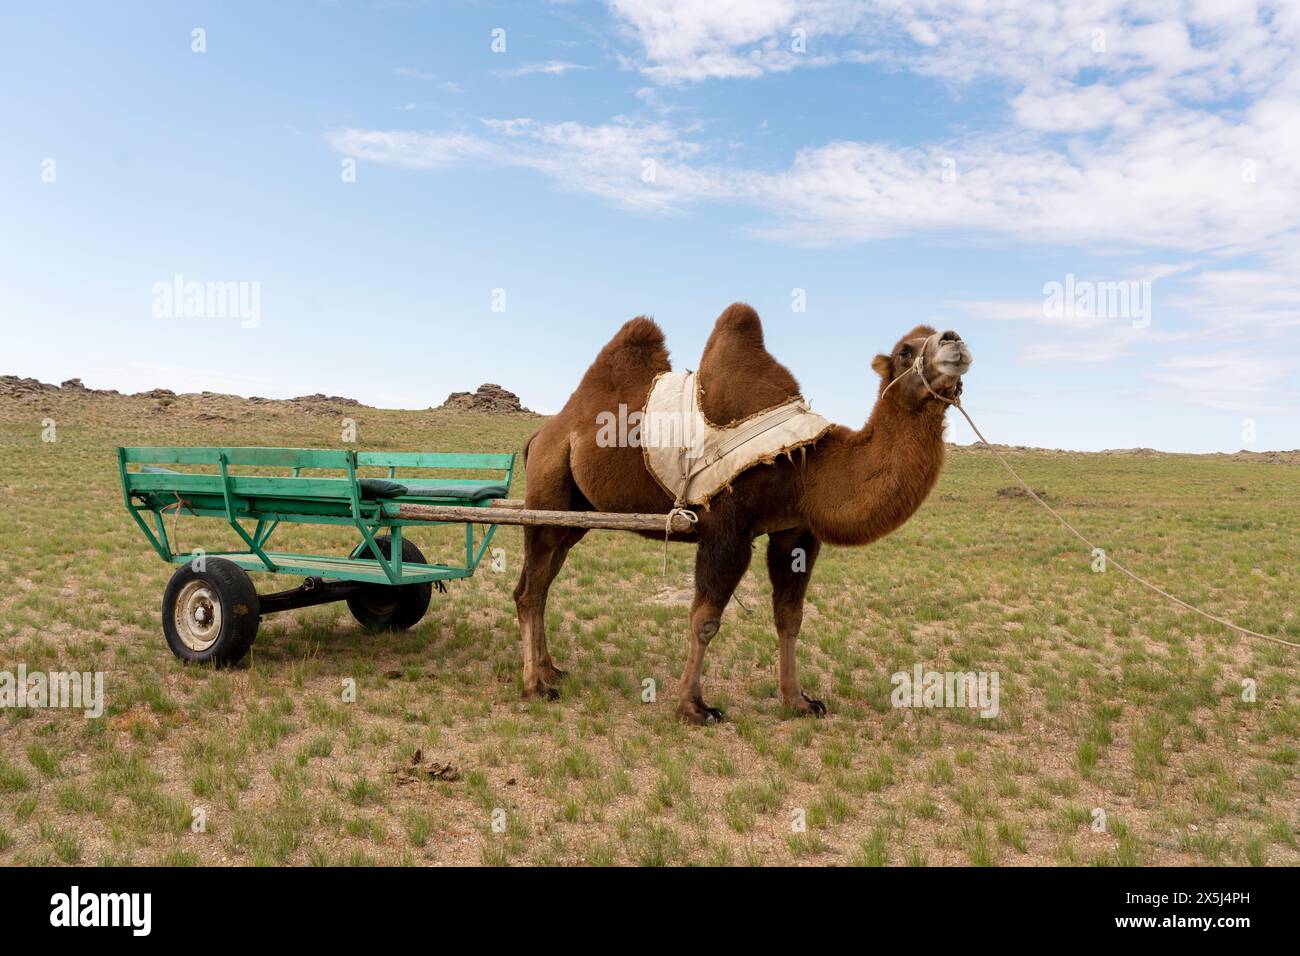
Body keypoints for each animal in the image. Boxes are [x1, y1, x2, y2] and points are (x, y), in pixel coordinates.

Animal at [512, 303, 972, 723]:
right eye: (905, 351)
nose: (955, 340)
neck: (809, 465)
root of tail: (540, 434)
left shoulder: (795, 532)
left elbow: (790, 618)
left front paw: (798, 700)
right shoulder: (726, 528)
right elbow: (705, 620)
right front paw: (694, 707)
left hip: (576, 516)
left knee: (545, 582)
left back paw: (551, 670)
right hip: (546, 496)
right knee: (530, 589)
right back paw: (535, 685)